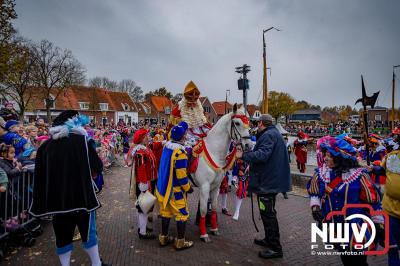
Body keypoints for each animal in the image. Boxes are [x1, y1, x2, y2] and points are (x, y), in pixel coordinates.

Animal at [192, 103, 252, 241]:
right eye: (237, 123)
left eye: (248, 123)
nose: (249, 145)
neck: (213, 152)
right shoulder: (204, 187)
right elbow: (204, 209)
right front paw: (204, 234)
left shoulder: (216, 187)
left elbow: (213, 207)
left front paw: (214, 229)